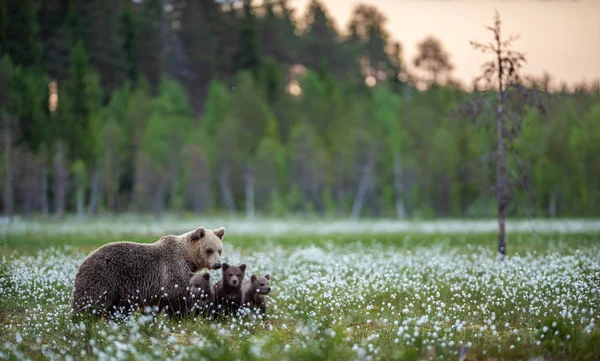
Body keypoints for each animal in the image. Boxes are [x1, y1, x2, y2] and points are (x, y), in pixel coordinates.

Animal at [72, 225, 225, 318]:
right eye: (208, 250)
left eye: (219, 250)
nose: (217, 264)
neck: (188, 258)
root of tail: (83, 262)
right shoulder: (172, 270)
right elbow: (176, 297)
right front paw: (181, 315)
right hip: (103, 277)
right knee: (90, 301)